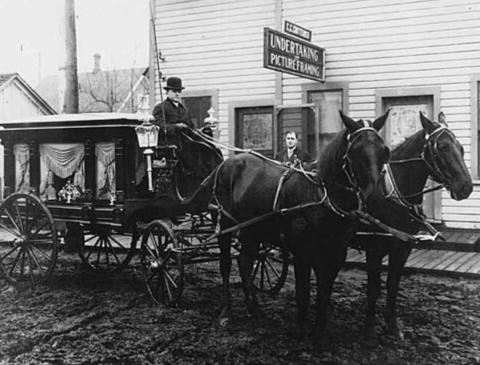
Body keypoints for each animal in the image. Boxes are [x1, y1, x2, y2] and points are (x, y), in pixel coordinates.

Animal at [213, 111, 390, 346]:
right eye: (354, 151)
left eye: (383, 150)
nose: (375, 198)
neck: (322, 196)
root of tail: (229, 162)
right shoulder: (302, 253)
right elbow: (303, 294)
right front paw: (299, 333)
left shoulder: (335, 253)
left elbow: (323, 294)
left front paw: (319, 334)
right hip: (226, 223)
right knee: (225, 264)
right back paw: (226, 310)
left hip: (253, 230)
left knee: (244, 261)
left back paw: (255, 309)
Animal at [352, 111, 472, 338]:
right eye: (442, 147)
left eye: (461, 147)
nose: (466, 187)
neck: (390, 193)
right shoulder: (375, 247)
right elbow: (373, 288)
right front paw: (369, 327)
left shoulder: (403, 246)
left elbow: (392, 285)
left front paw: (392, 327)